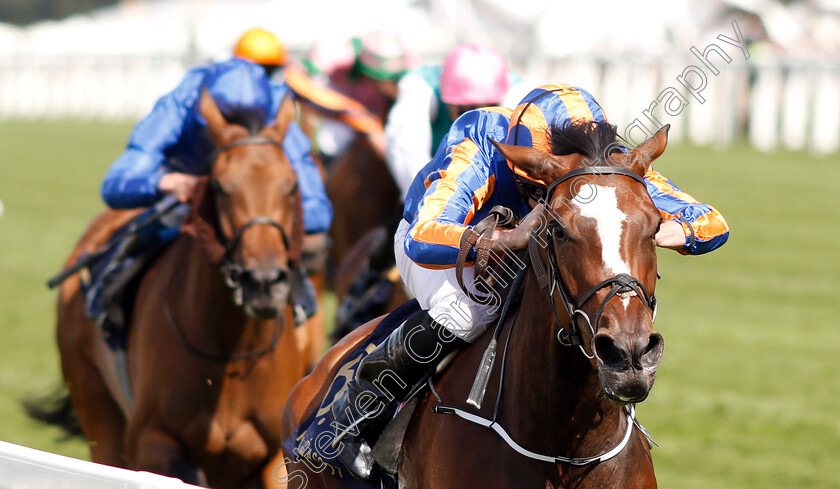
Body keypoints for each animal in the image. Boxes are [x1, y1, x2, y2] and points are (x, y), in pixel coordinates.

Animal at [55, 92, 316, 488]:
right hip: (95, 404)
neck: (231, 354)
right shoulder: (149, 438)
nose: (264, 282)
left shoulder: (274, 456)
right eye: (220, 187)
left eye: (290, 186)